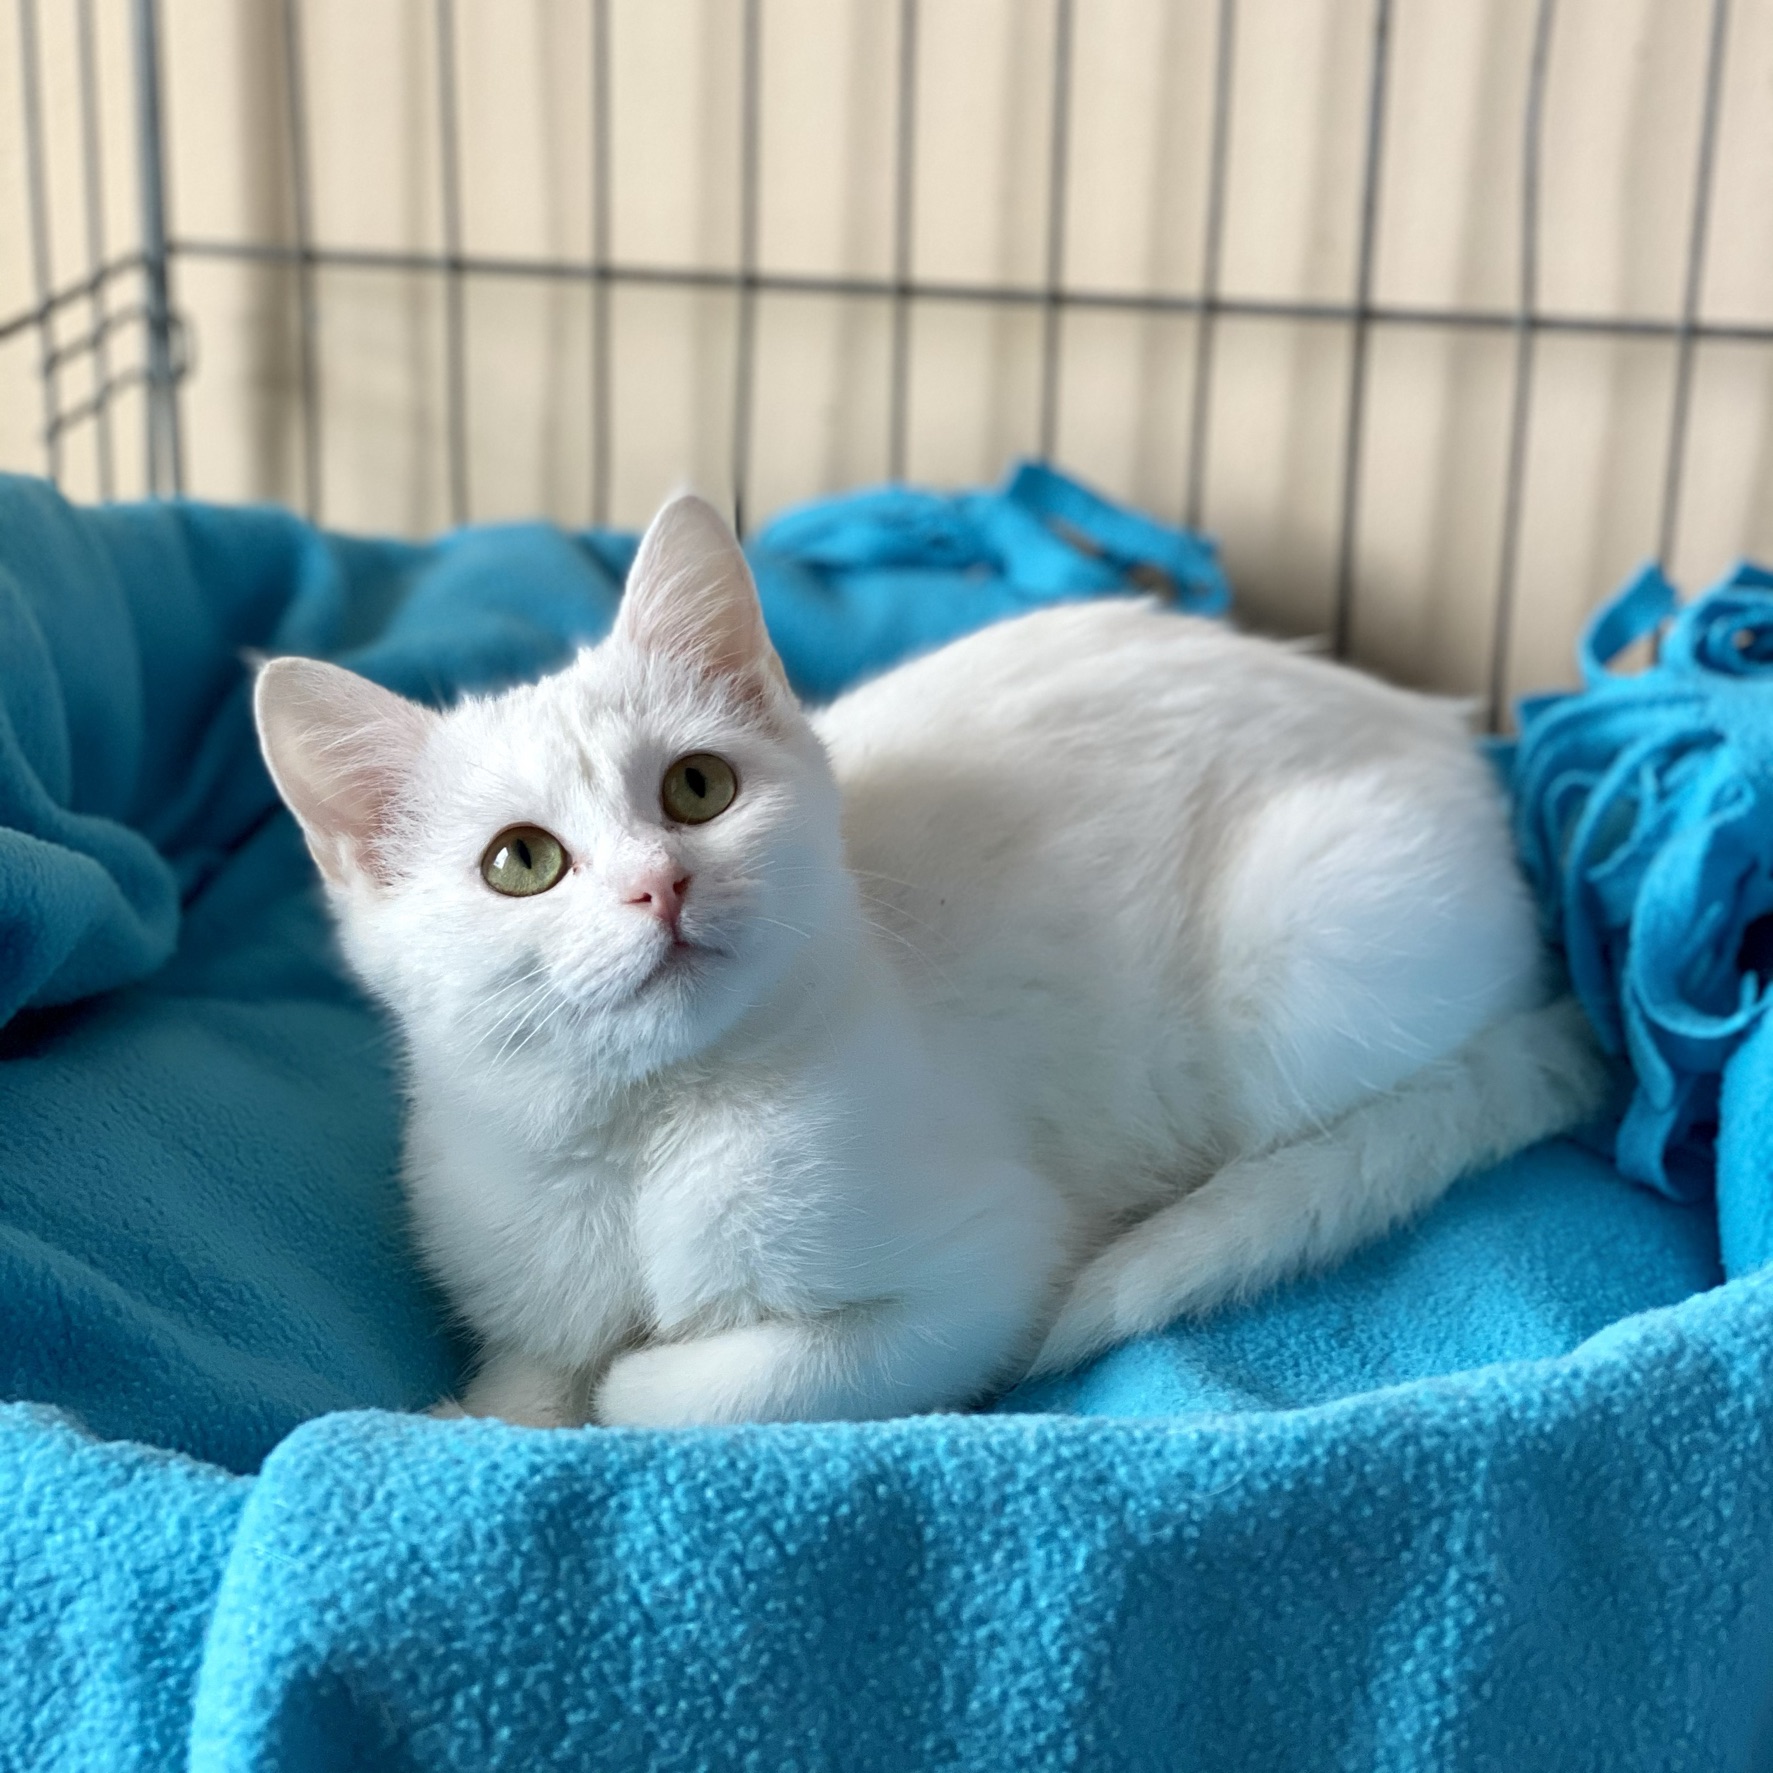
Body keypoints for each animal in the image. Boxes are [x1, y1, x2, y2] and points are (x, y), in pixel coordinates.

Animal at [253, 493, 1605, 1428]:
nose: (659, 883)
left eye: (697, 788)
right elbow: (528, 1382)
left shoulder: (988, 1268)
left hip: (1308, 978)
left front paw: (636, 1381)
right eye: (521, 862)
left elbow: (707, 1387)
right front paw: (488, 1415)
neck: (645, 1139)